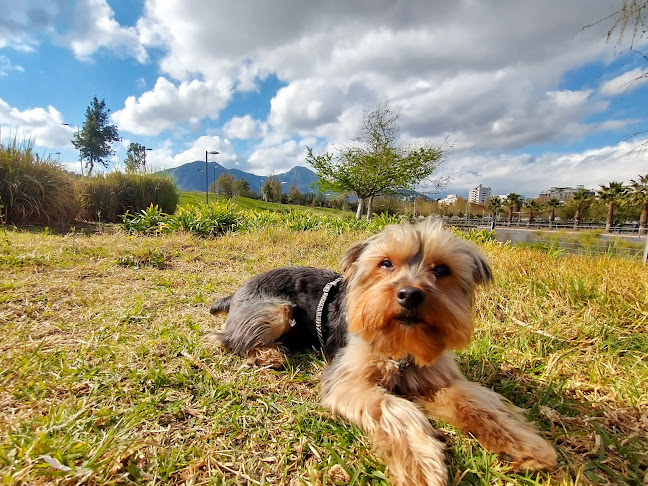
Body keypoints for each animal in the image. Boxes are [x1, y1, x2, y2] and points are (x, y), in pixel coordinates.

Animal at [208, 218, 556, 484]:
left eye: (442, 270)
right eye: (386, 263)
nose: (410, 294)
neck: (402, 344)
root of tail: (236, 292)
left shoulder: (436, 375)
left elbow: (476, 401)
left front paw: (526, 445)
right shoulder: (349, 380)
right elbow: (396, 409)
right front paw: (422, 467)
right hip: (274, 310)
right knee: (225, 337)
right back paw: (268, 354)